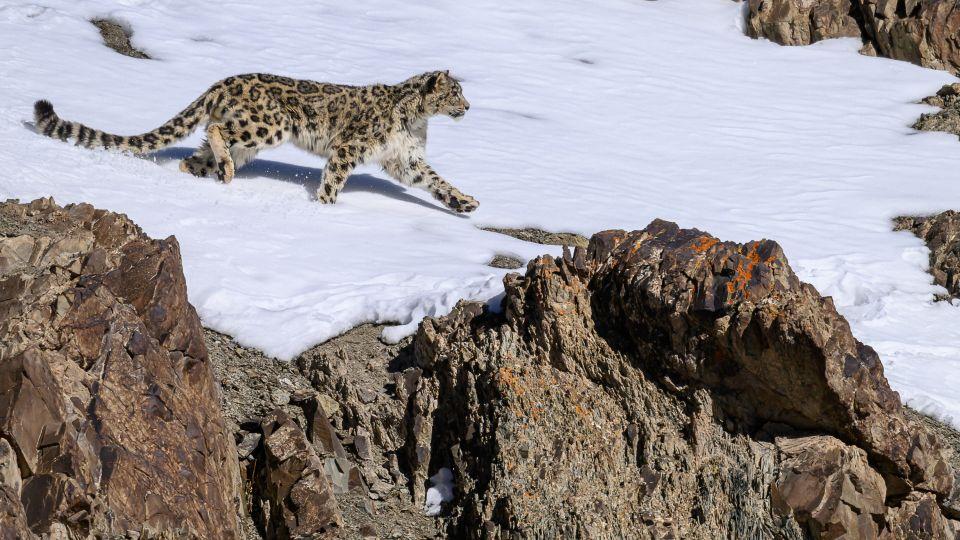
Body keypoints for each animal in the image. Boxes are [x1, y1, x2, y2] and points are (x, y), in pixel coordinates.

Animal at [33, 71, 478, 212]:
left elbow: (435, 181)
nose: (469, 106)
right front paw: (326, 209)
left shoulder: (407, 159)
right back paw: (224, 169)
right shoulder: (350, 147)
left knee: (194, 156)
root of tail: (225, 80)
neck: (415, 122)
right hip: (268, 125)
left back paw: (214, 173)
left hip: (251, 139)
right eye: (455, 92)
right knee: (215, 132)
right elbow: (335, 178)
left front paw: (465, 202)